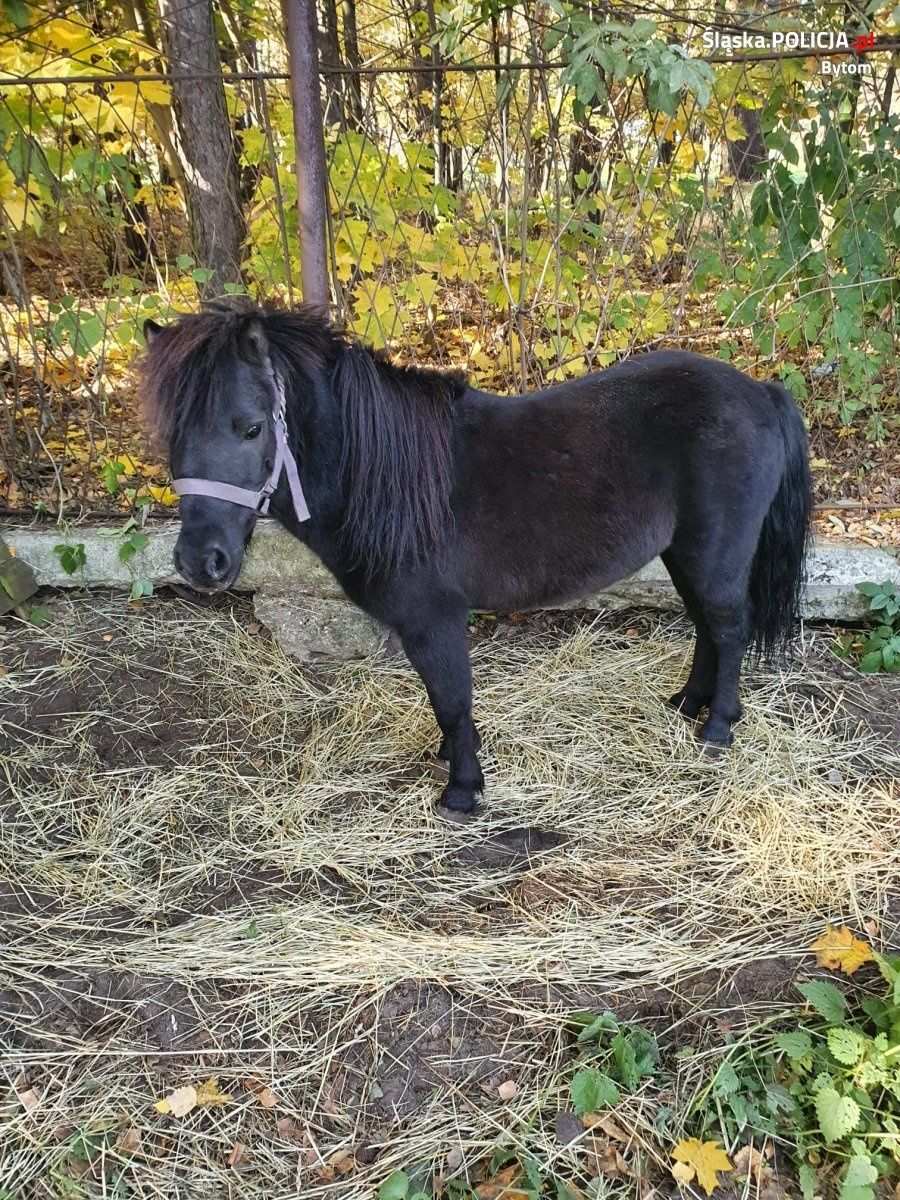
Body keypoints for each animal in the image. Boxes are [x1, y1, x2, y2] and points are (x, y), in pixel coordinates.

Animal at [139, 304, 811, 820]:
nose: (200, 561)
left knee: (727, 628)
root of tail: (759, 391)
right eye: (171, 435)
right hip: (683, 554)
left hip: (714, 553)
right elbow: (446, 703)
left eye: (252, 428)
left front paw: (462, 791)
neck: (384, 478)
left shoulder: (434, 620)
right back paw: (686, 705)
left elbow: (452, 699)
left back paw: (717, 728)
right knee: (706, 628)